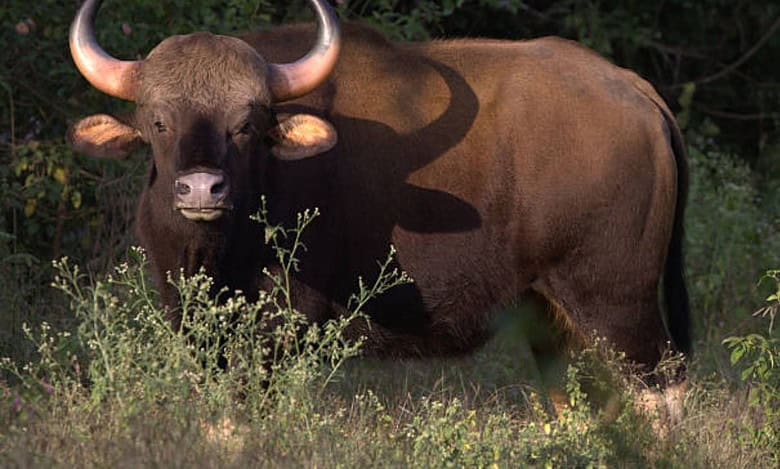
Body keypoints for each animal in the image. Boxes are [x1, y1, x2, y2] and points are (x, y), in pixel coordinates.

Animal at [68, 0, 690, 379]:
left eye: (246, 123)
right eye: (157, 121)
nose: (202, 188)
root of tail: (634, 90)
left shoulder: (282, 326)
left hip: (617, 302)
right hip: (553, 315)